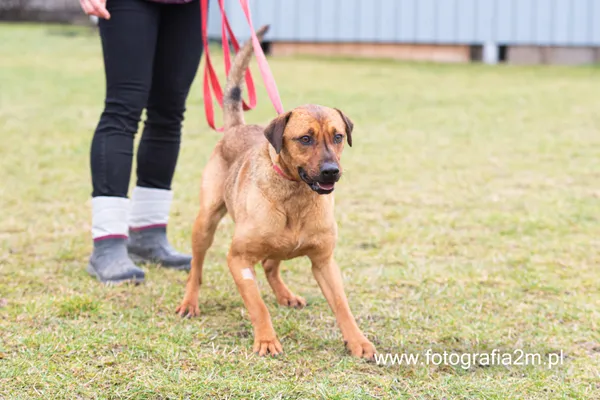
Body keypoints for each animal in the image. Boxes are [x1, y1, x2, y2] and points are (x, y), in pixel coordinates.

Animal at [176, 27, 378, 360]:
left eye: (337, 136)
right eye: (305, 139)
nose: (331, 171)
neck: (296, 196)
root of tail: (235, 128)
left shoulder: (324, 261)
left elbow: (342, 305)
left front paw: (357, 340)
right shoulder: (239, 259)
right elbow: (257, 305)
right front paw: (267, 340)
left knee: (271, 264)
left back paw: (285, 294)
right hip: (205, 222)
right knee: (197, 267)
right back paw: (190, 302)